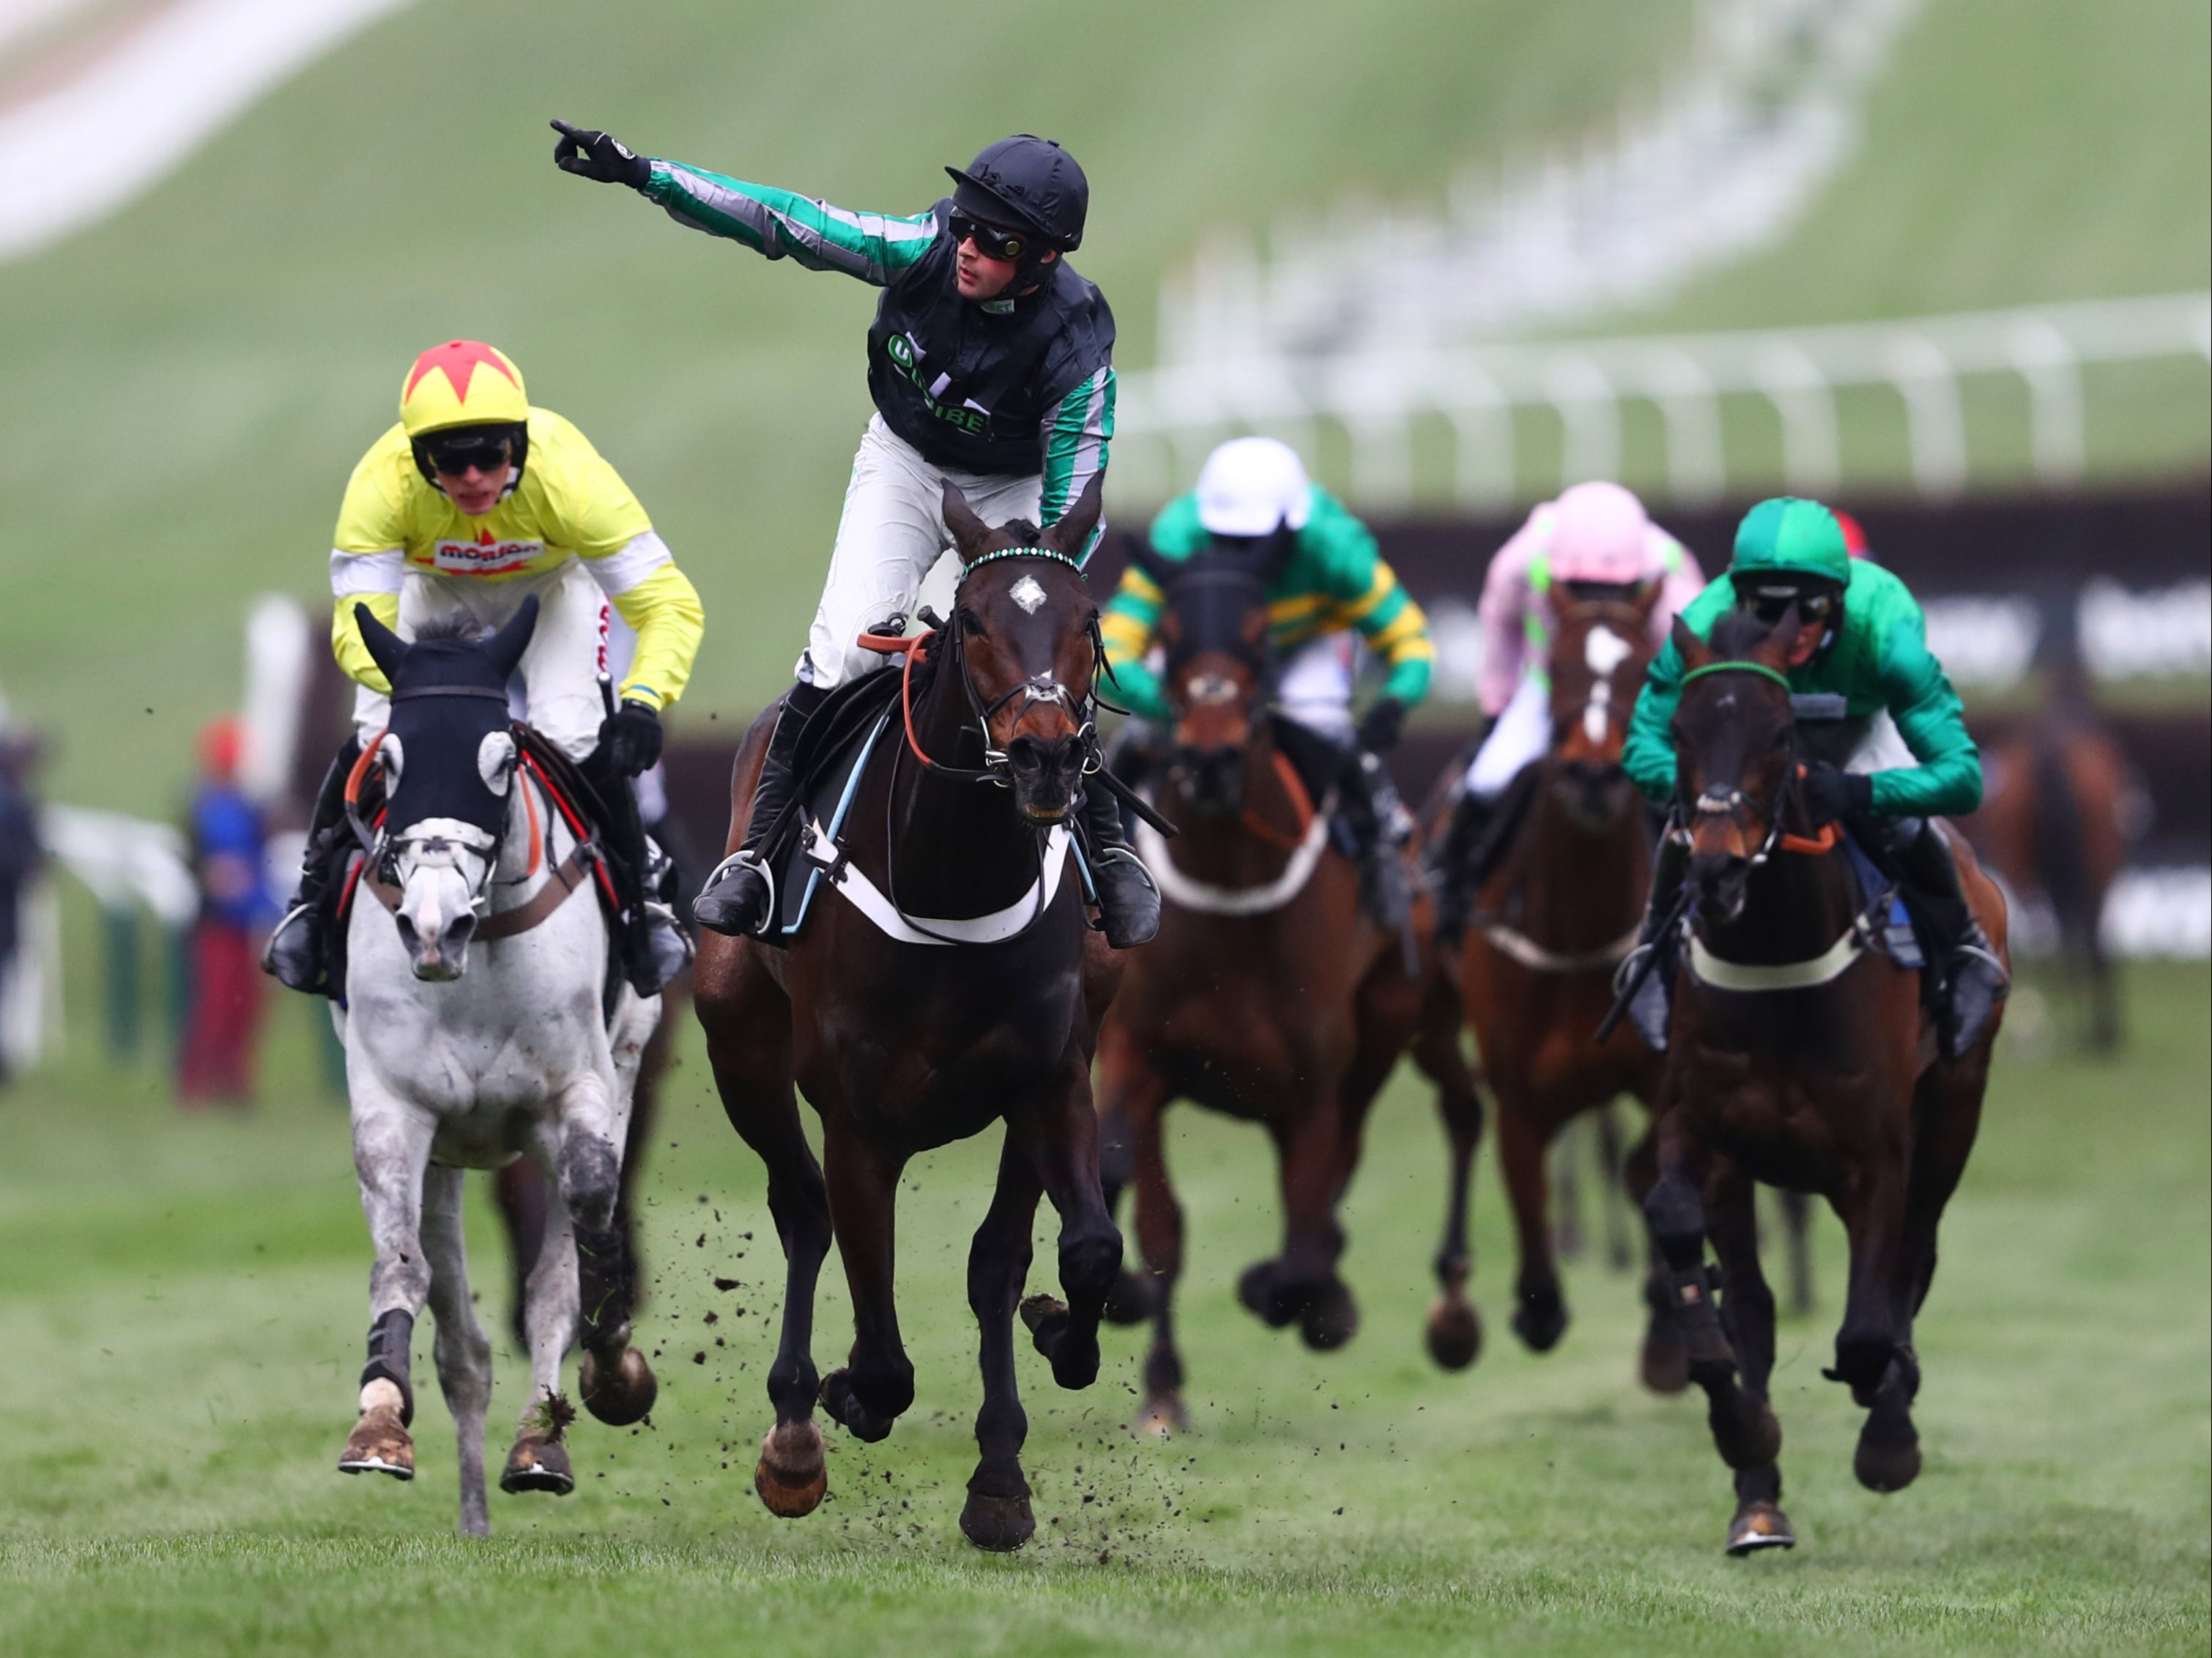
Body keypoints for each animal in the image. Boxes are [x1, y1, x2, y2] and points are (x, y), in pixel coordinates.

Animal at [327, 601, 654, 1547]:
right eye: (388, 761)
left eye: (502, 760)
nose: (434, 924)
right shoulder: (396, 1107)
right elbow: (401, 1268)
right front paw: (379, 1423)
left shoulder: (576, 1094)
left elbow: (583, 1226)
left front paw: (601, 1379)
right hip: (446, 1153)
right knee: (462, 1349)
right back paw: (472, 1513)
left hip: (623, 1064)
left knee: (556, 1274)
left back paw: (538, 1437)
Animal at [690, 472, 1124, 1556]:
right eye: (971, 621)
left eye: (1088, 619)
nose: (1046, 758)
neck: (955, 878)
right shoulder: (858, 1121)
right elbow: (883, 1355)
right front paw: (844, 1396)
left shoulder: (1050, 1077)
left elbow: (1076, 1250)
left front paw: (1059, 1348)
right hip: (739, 1044)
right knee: (799, 1208)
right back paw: (795, 1428)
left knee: (993, 1259)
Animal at [1092, 535, 1486, 1441]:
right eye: (1168, 635)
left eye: (1260, 638)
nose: (1208, 759)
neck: (1231, 898)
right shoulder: (1135, 1053)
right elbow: (1154, 1218)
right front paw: (1159, 1385)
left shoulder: (1312, 1084)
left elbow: (1303, 1238)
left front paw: (1304, 1297)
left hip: (1385, 1024)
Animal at [1460, 592, 1681, 1379]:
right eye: (1555, 666)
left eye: (1644, 668)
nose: (1593, 776)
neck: (1579, 934)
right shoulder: (1517, 1092)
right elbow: (1527, 1183)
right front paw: (1538, 1305)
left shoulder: (1662, 1073)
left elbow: (1650, 1167)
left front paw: (1666, 1319)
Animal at [1645, 610, 2008, 1556]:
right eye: (1678, 729)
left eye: (1780, 735)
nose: (1714, 871)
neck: (1776, 959)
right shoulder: (1700, 1129)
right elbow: (1693, 1252)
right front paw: (1739, 1424)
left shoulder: (1874, 1156)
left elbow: (1869, 1324)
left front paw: (1888, 1432)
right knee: (1757, 1303)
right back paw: (1757, 1502)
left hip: (1954, 1107)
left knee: (1912, 1258)